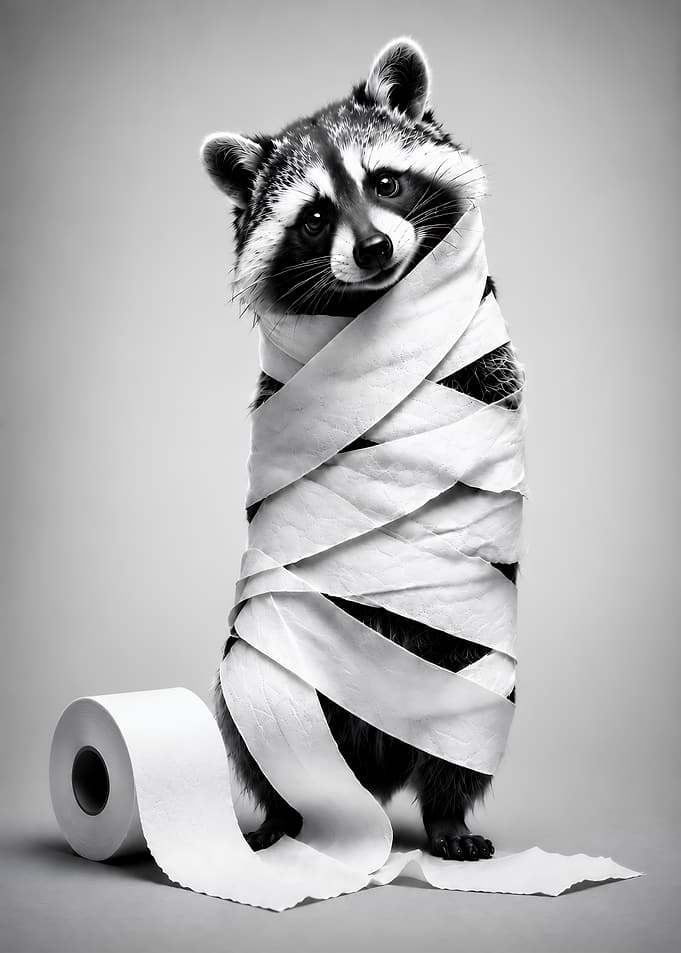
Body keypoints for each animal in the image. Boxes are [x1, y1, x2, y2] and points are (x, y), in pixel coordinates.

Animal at [202, 38, 522, 862]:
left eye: (384, 181)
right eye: (315, 218)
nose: (375, 247)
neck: (371, 306)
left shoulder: (486, 371)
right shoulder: (279, 400)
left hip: (471, 674)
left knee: (464, 734)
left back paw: (446, 815)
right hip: (265, 673)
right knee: (253, 727)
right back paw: (286, 816)